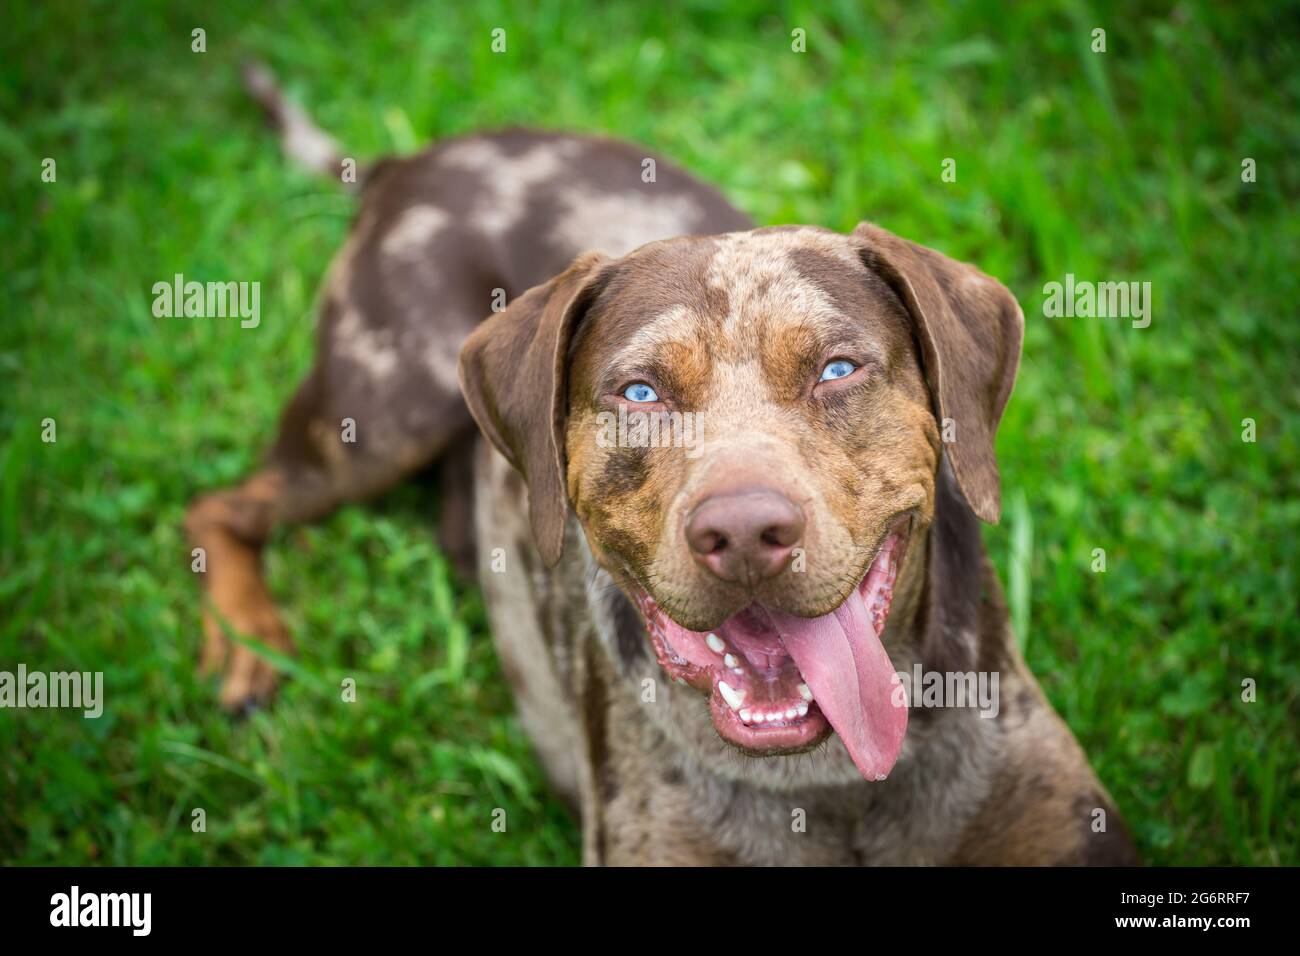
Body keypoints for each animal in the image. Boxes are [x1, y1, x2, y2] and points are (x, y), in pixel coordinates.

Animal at [189, 63, 1138, 863]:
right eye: (639, 392)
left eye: (837, 369)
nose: (745, 531)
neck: (827, 776)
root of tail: (410, 162)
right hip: (381, 410)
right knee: (219, 506)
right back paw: (245, 644)